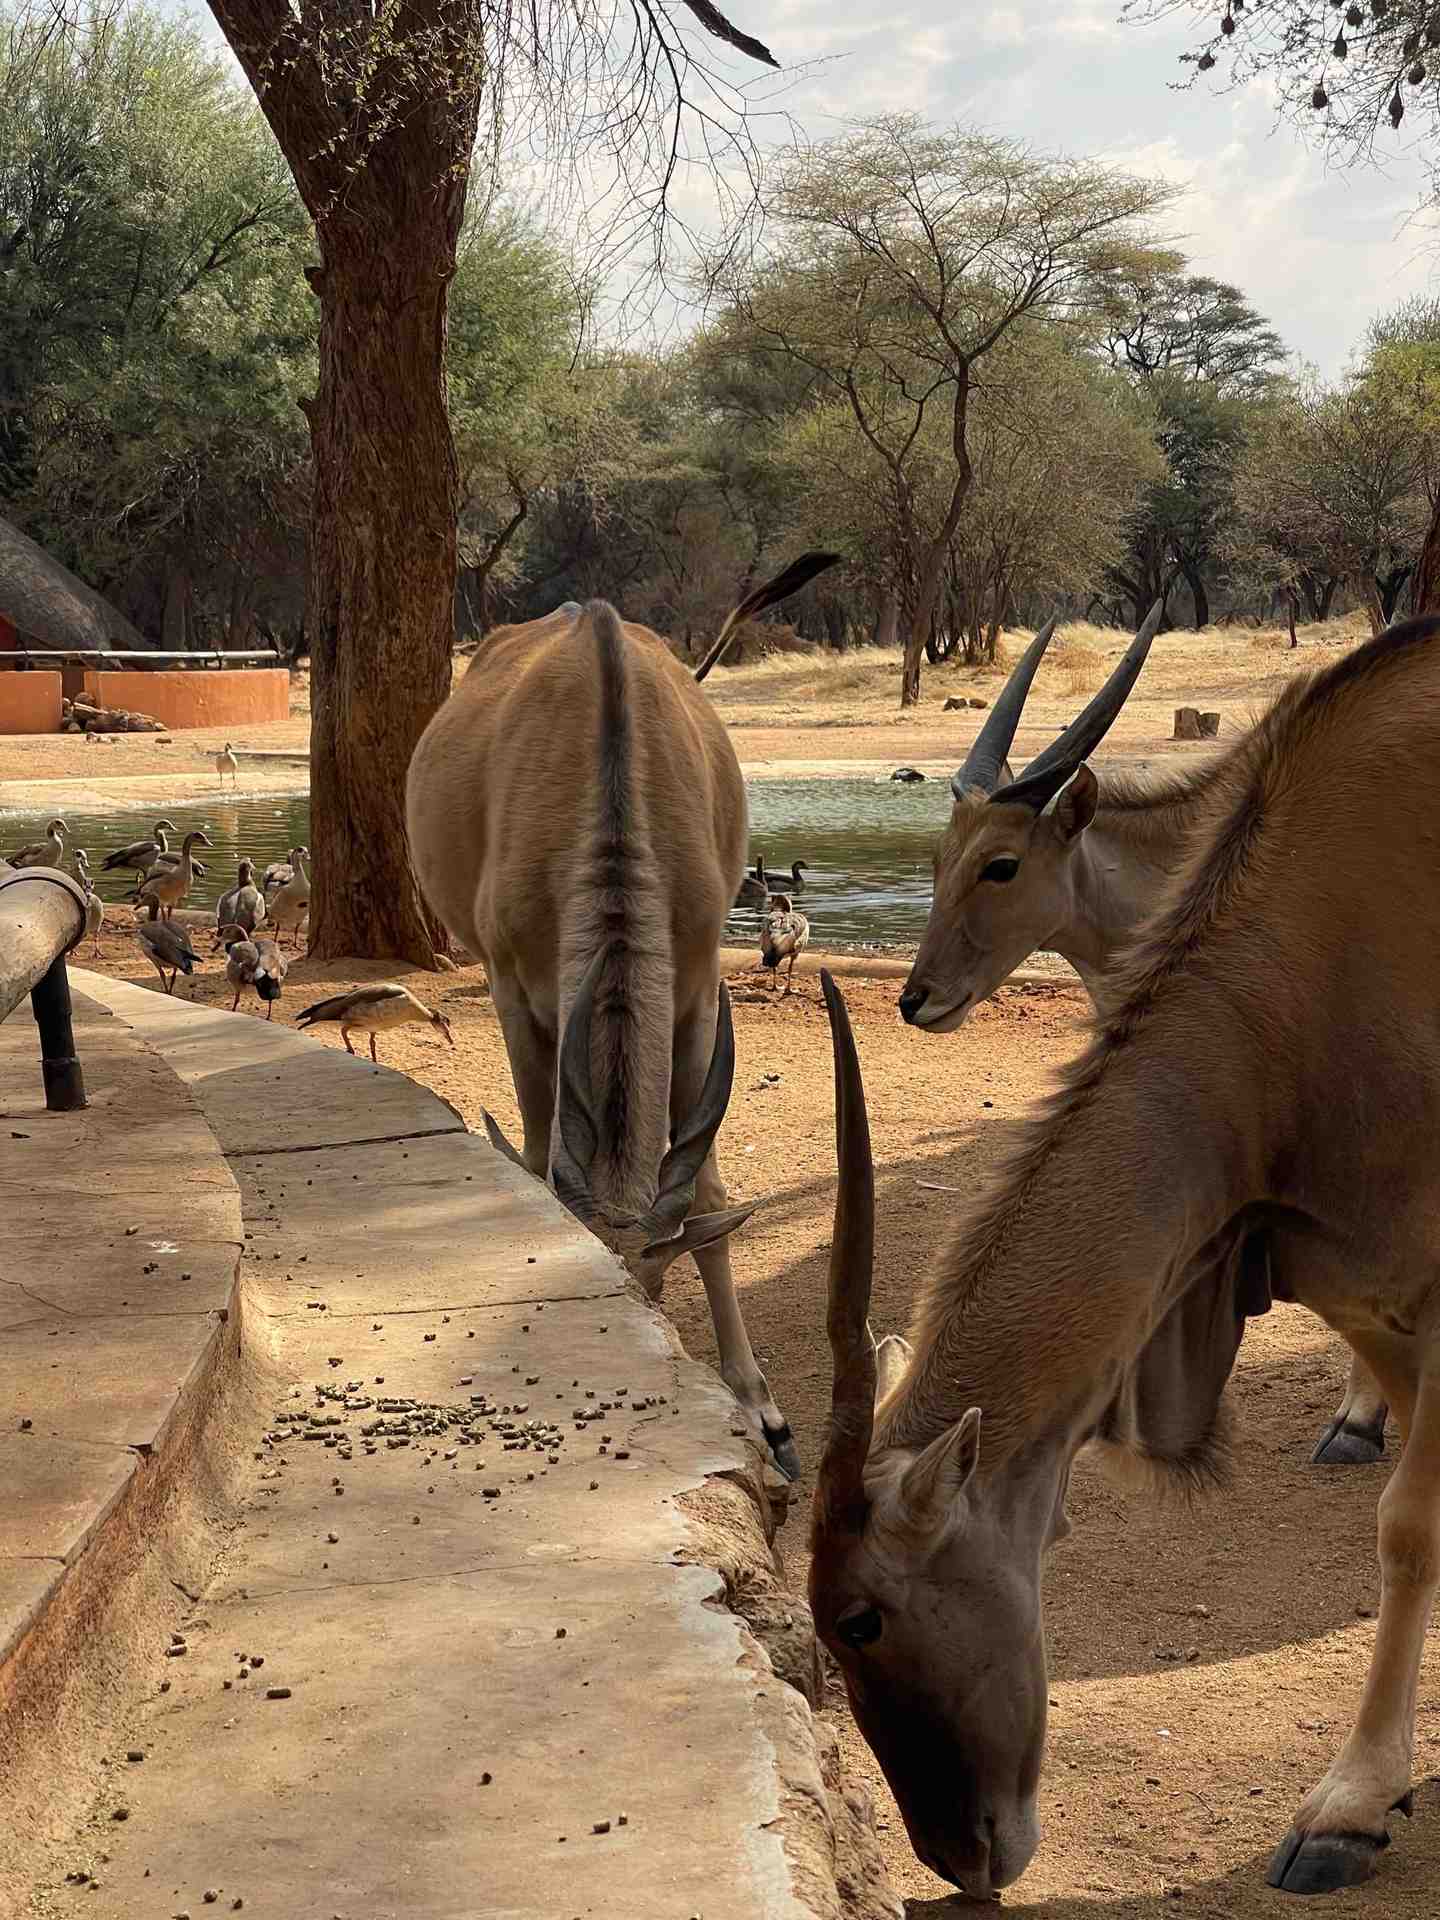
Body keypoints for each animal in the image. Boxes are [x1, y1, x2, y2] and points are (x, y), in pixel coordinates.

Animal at [406, 554, 838, 1481]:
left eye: (652, 1293)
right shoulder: (512, 990)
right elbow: (537, 1149)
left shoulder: (698, 990)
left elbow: (708, 1197)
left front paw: (764, 1410)